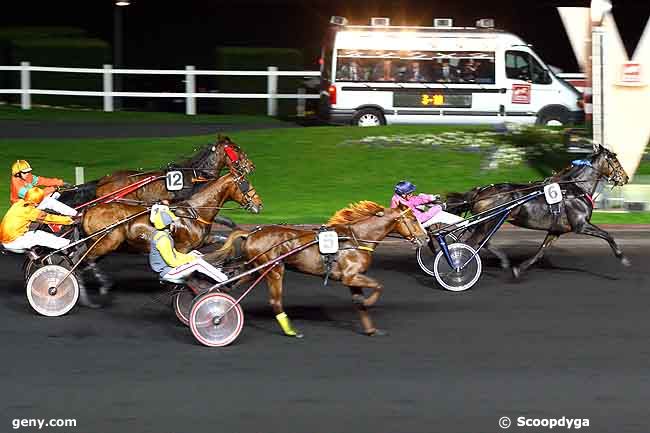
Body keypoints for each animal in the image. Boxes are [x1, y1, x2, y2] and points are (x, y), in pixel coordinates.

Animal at [78, 172, 264, 304]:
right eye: (245, 184)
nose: (259, 204)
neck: (195, 212)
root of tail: (89, 210)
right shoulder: (183, 247)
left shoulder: (203, 240)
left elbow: (222, 242)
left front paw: (227, 262)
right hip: (108, 241)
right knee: (86, 260)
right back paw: (100, 285)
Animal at [208, 201, 428, 336]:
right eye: (413, 219)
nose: (425, 238)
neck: (356, 238)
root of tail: (250, 233)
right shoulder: (350, 276)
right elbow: (379, 286)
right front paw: (368, 302)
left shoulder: (353, 279)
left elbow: (360, 304)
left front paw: (370, 329)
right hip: (274, 268)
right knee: (275, 300)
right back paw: (291, 331)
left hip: (257, 268)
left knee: (234, 282)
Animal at [446, 143, 628, 276]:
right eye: (615, 160)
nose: (625, 178)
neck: (575, 189)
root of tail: (480, 191)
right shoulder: (581, 225)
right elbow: (608, 235)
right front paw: (623, 258)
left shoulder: (556, 230)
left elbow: (540, 252)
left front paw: (518, 269)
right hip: (489, 222)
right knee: (471, 243)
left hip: (485, 223)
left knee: (481, 242)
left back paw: (502, 261)